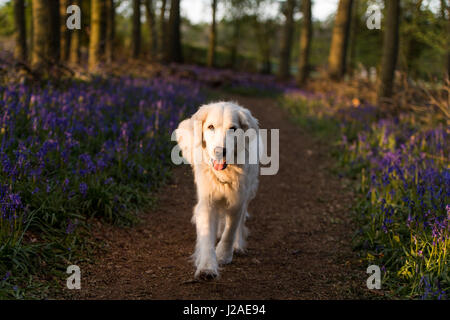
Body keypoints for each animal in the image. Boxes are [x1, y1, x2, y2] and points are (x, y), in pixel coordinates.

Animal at [176, 101, 260, 278]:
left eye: (233, 128)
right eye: (210, 127)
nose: (219, 151)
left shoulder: (237, 200)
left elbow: (231, 229)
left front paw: (224, 255)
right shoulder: (208, 202)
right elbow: (207, 234)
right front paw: (207, 267)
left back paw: (237, 245)